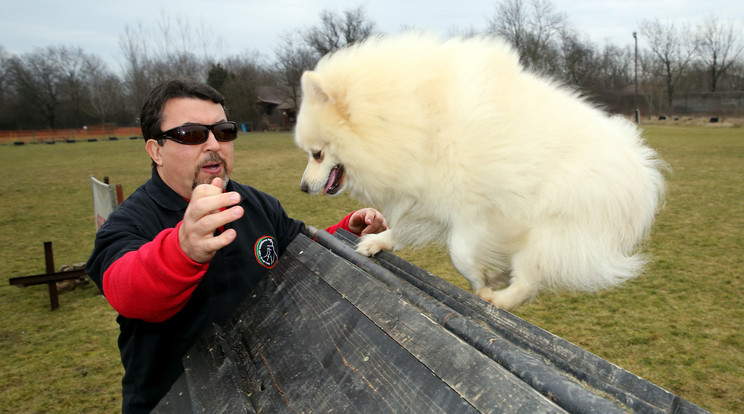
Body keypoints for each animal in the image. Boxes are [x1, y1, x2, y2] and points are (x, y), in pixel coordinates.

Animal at [294, 34, 664, 308]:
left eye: (317, 154)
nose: (302, 188)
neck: (408, 122)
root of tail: (642, 173)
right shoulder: (424, 201)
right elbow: (401, 230)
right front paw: (375, 242)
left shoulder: (477, 212)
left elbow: (460, 253)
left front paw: (483, 283)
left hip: (551, 231)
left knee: (530, 279)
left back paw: (499, 298)